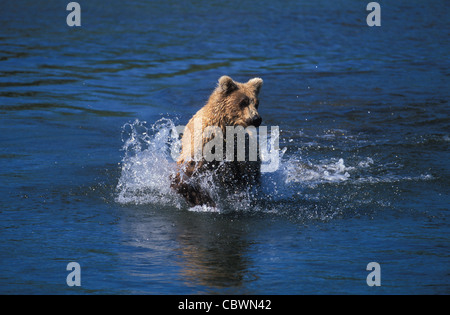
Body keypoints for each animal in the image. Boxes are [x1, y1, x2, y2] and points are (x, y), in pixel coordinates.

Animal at [171, 75, 264, 209]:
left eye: (256, 103)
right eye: (243, 102)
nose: (256, 119)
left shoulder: (237, 151)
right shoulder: (201, 144)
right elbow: (184, 174)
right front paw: (203, 199)